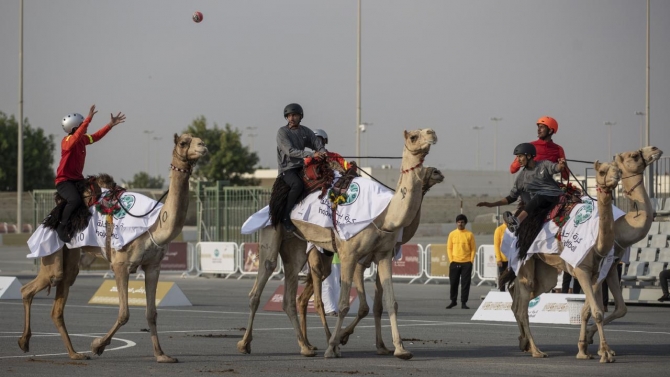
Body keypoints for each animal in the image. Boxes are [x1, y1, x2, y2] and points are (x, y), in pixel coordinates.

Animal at [18, 134, 207, 362]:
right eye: (183, 142)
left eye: (199, 139)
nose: (203, 146)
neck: (154, 223)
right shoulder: (120, 264)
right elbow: (124, 313)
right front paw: (97, 345)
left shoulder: (153, 266)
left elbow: (151, 313)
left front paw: (162, 355)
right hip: (53, 253)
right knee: (31, 288)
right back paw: (25, 342)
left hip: (70, 254)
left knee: (58, 301)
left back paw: (74, 354)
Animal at [238, 127, 440, 358]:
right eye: (414, 136)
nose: (432, 133)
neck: (384, 215)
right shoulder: (350, 255)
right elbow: (344, 305)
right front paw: (334, 345)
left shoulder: (383, 254)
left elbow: (390, 302)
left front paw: (400, 349)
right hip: (272, 232)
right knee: (262, 281)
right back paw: (245, 344)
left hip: (296, 247)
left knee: (290, 296)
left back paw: (305, 347)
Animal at [506, 159, 628, 362]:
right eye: (602, 171)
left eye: (617, 168)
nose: (617, 175)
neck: (598, 244)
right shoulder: (581, 269)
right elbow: (597, 311)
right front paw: (604, 353)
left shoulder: (598, 273)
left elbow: (592, 310)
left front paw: (590, 350)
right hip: (525, 262)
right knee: (522, 306)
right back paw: (537, 350)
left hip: (543, 272)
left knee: (518, 298)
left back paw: (525, 344)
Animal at [584, 145, 664, 348]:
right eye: (634, 155)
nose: (655, 148)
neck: (620, 229)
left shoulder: (613, 265)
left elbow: (621, 308)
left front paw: (588, 336)